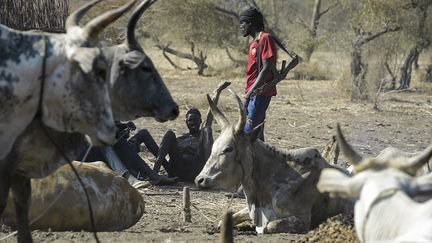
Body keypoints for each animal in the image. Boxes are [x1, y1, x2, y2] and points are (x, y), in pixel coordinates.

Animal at [194, 89, 352, 234]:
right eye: (214, 146)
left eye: (228, 148)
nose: (200, 180)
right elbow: (226, 219)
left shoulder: (302, 220)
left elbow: (269, 226)